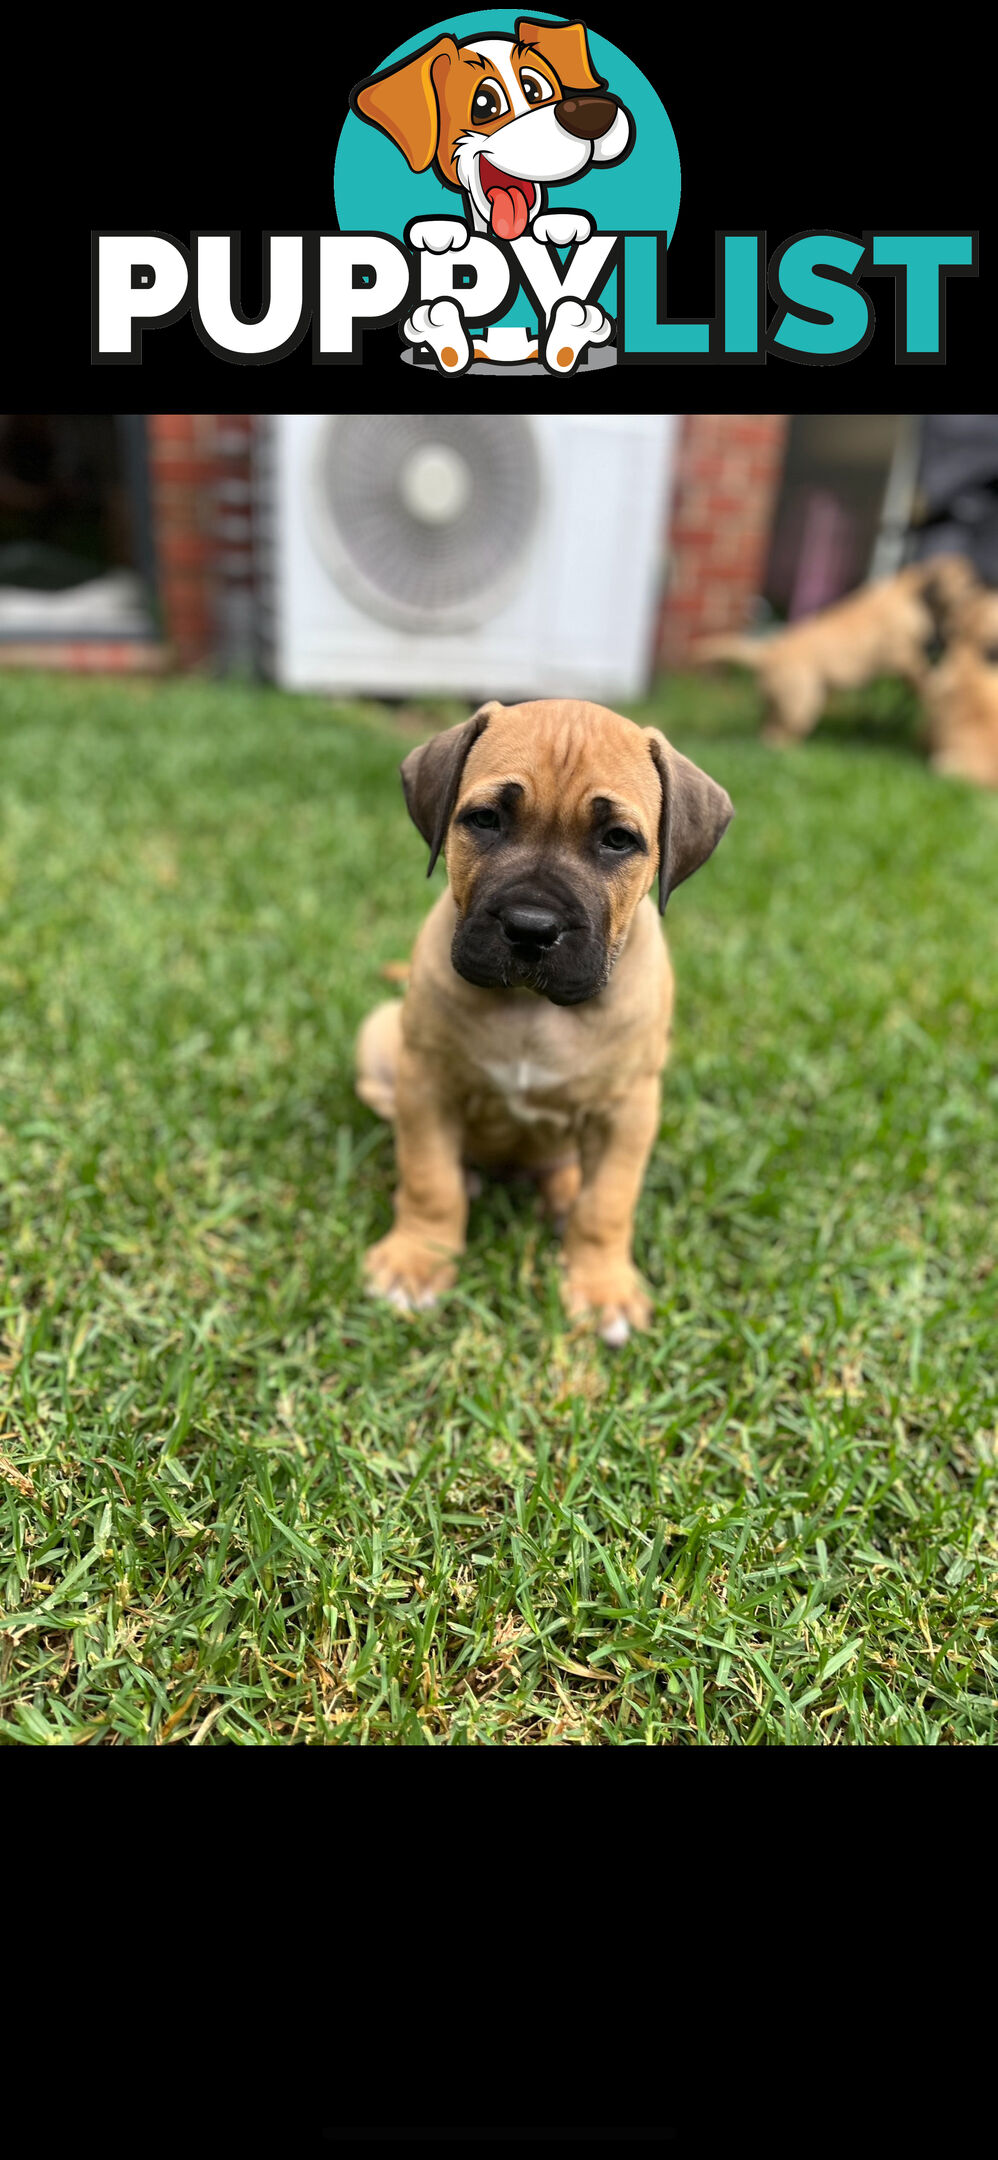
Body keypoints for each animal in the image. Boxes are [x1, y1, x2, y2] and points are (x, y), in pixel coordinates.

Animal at [356, 699, 734, 1339]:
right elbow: (430, 1180)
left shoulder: (628, 1111)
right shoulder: (427, 1083)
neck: (532, 1009)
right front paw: (417, 1261)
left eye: (618, 840)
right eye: (484, 820)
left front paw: (603, 1290)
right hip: (381, 1038)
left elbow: (606, 1205)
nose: (531, 928)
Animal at [695, 552, 976, 747]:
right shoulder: (901, 652)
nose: (978, 587)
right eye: (965, 581)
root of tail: (768, 652)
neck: (910, 590)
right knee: (777, 735)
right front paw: (931, 686)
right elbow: (919, 672)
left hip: (779, 699)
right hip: (802, 700)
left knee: (768, 726)